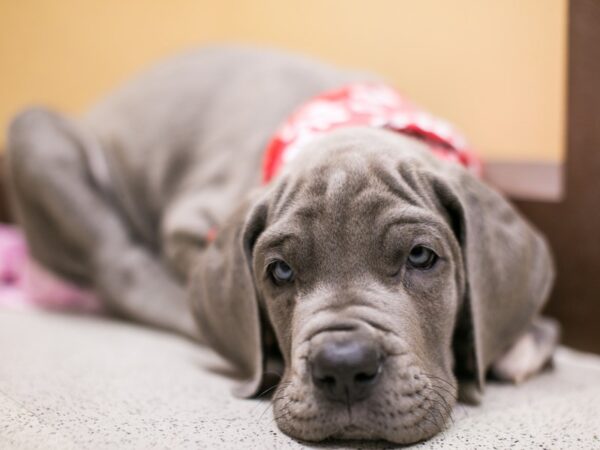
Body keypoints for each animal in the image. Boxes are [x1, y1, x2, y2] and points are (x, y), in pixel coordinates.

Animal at [4, 44, 556, 442]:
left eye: (421, 257)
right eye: (280, 271)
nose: (344, 367)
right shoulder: (189, 224)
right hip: (36, 136)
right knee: (126, 272)